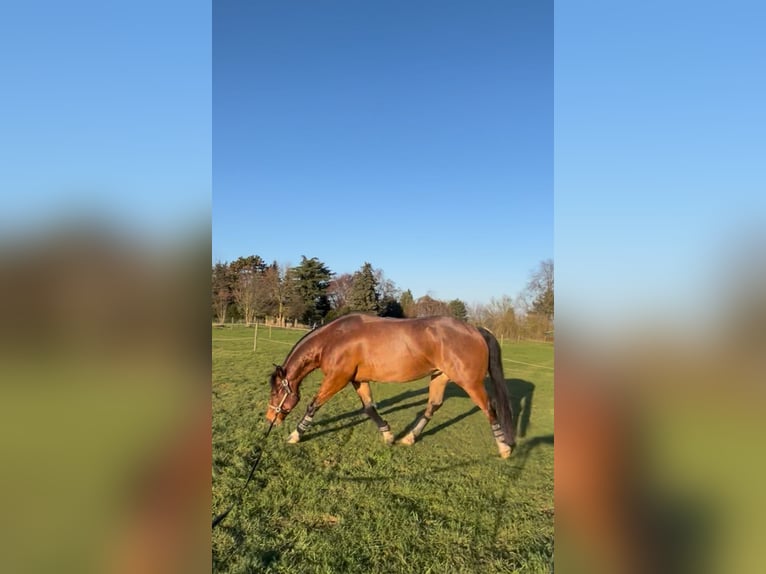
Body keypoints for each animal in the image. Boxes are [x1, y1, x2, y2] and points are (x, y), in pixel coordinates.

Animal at [266, 313, 516, 458]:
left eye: (277, 391)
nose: (270, 420)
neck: (334, 339)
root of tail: (476, 330)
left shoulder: (337, 379)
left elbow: (313, 405)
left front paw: (295, 435)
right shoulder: (358, 380)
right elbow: (369, 408)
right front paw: (388, 435)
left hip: (470, 383)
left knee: (489, 408)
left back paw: (504, 447)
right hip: (440, 377)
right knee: (432, 406)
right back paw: (409, 438)